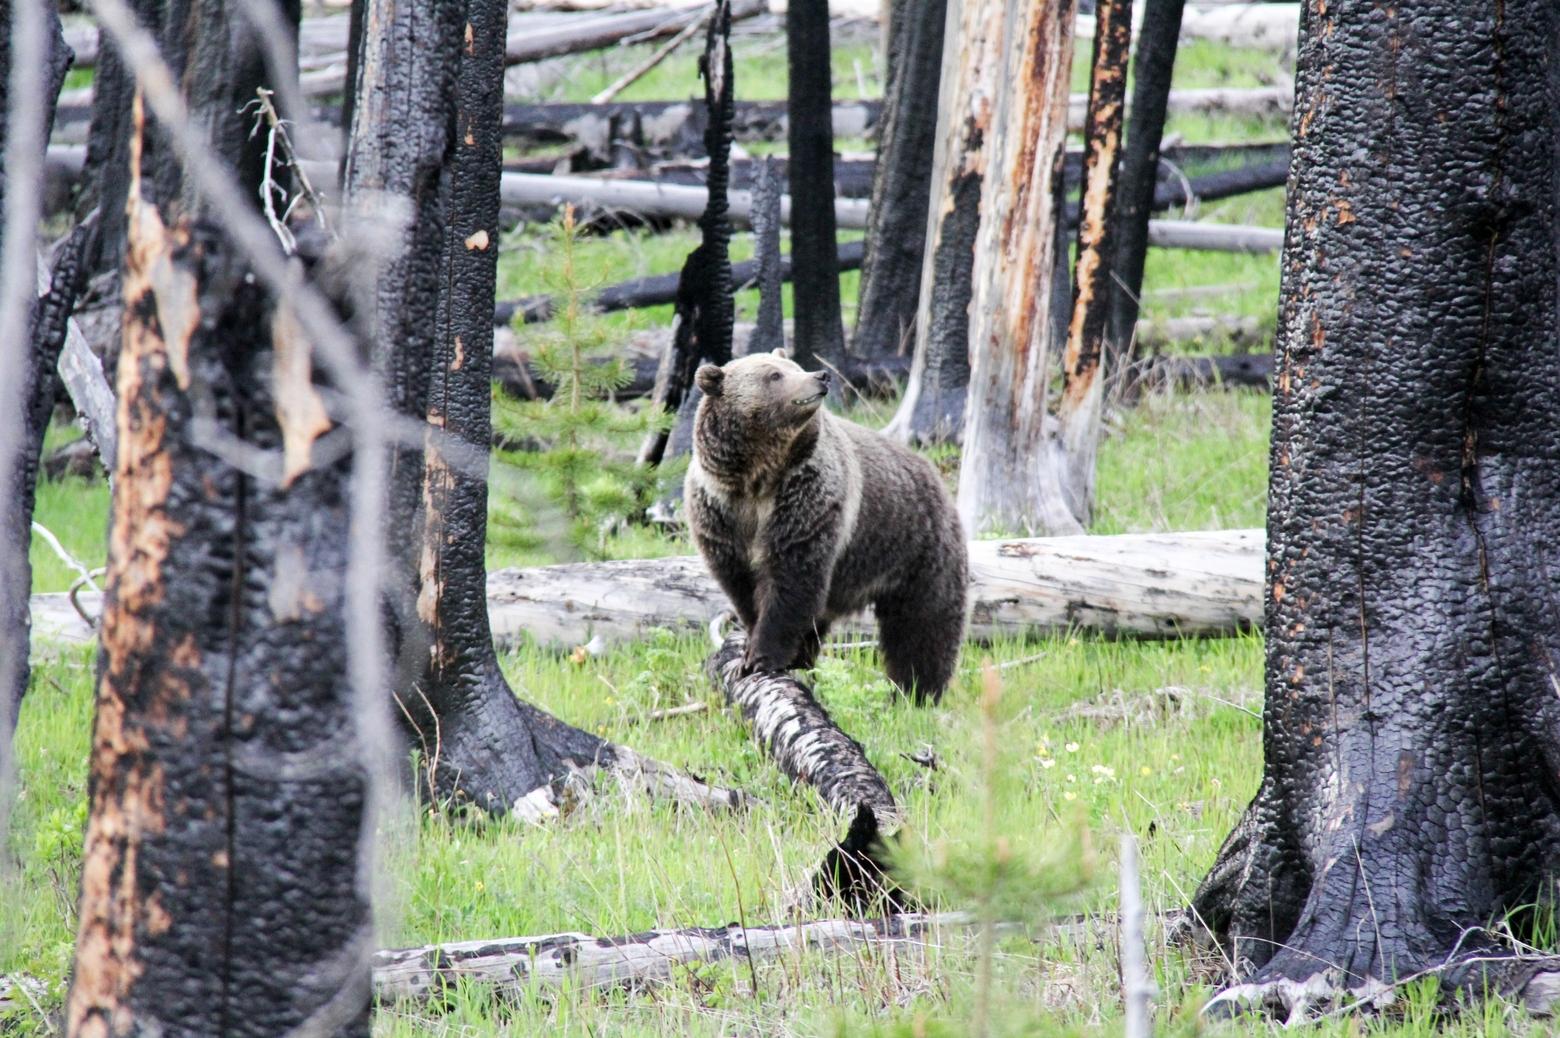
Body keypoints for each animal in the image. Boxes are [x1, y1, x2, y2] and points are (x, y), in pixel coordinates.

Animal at [689, 349, 967, 705]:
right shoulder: (721, 513)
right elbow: (743, 588)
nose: (820, 376)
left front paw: (760, 657)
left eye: (793, 366)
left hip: (918, 548)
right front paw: (751, 652)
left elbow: (790, 581)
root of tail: (933, 472)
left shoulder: (806, 502)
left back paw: (916, 691)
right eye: (774, 375)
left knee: (923, 625)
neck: (758, 476)